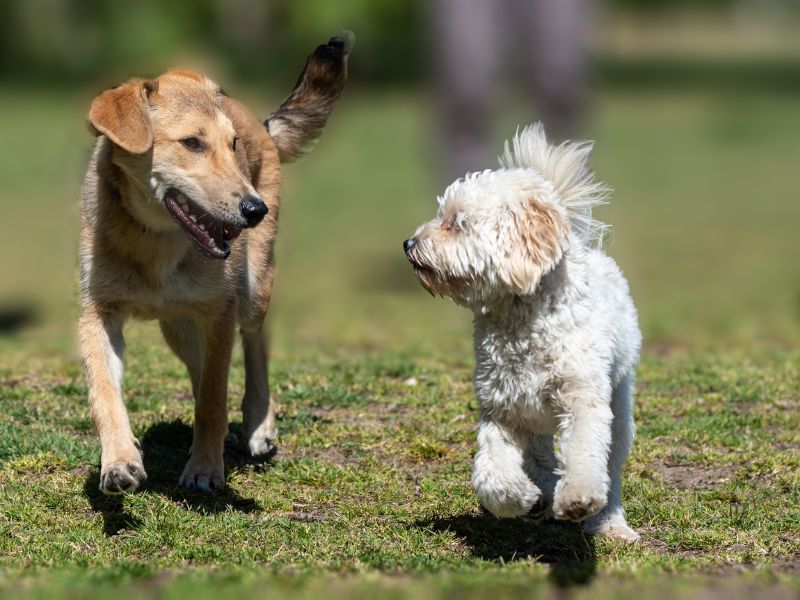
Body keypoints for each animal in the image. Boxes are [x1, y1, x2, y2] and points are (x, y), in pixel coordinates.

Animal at [79, 34, 352, 492]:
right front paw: (119, 461)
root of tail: (261, 124)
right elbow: (105, 393)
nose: (254, 209)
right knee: (202, 367)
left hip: (253, 288)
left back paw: (259, 424)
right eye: (192, 143)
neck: (156, 242)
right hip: (179, 327)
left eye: (232, 145)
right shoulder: (99, 312)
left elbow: (212, 398)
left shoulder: (220, 312)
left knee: (254, 345)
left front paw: (205, 469)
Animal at [404, 124, 640, 540]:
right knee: (541, 457)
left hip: (619, 404)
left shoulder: (582, 400)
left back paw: (609, 521)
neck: (522, 320)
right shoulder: (503, 410)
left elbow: (584, 454)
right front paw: (522, 499)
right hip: (535, 421)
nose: (408, 244)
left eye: (457, 222)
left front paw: (577, 499)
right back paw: (543, 493)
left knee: (610, 466)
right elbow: (491, 475)